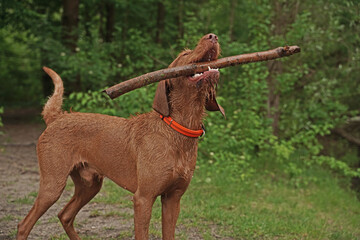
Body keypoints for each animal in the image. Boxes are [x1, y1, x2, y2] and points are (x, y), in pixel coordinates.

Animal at [17, 32, 225, 239]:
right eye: (185, 54)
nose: (213, 36)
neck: (177, 129)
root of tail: (56, 117)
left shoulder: (173, 199)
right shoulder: (143, 198)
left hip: (90, 185)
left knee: (65, 215)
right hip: (53, 185)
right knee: (24, 224)